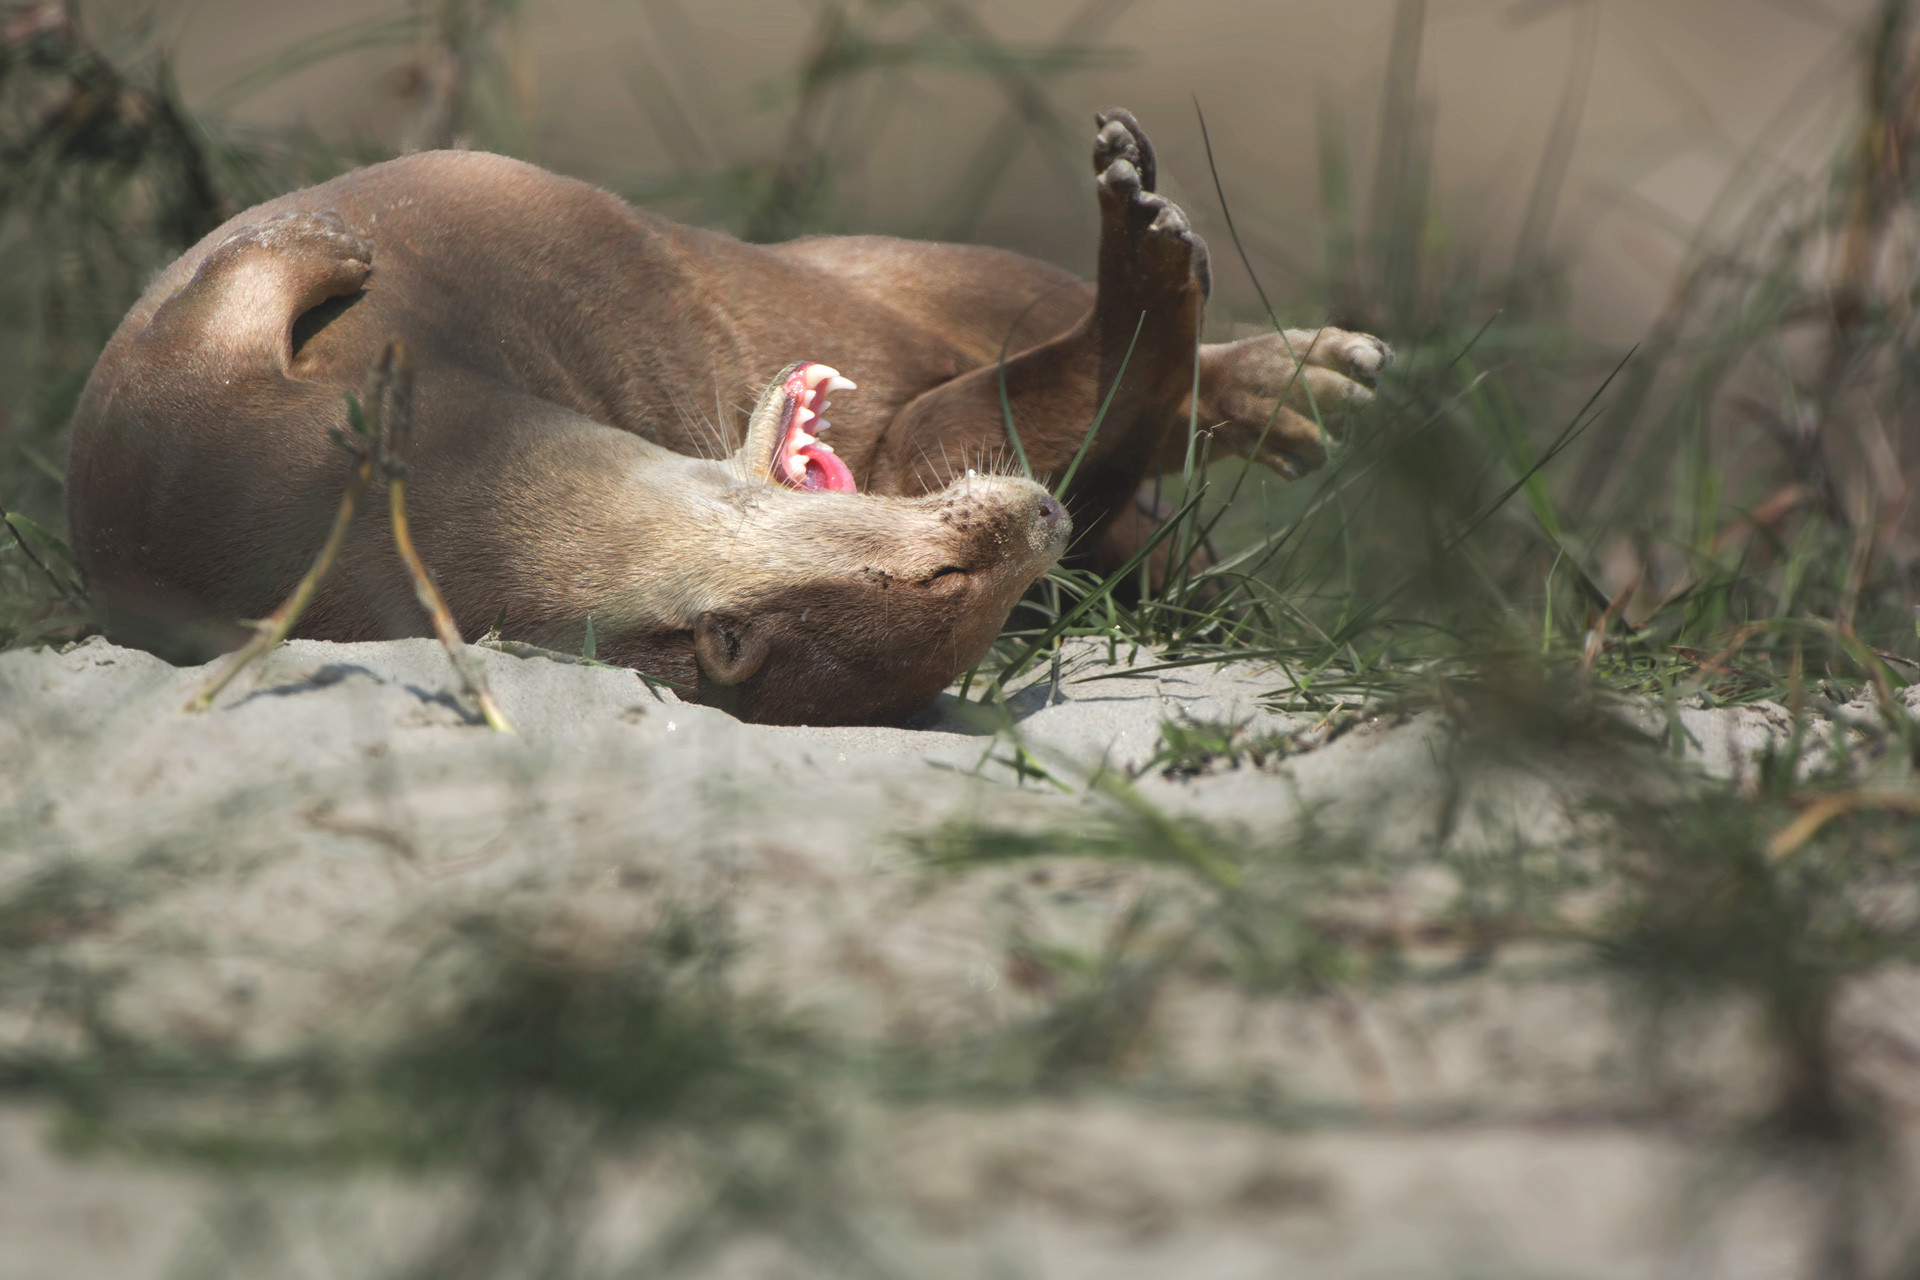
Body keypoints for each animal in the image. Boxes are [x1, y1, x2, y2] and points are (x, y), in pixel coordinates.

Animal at [66, 110, 1387, 726]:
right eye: (949, 583)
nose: (1038, 527)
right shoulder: (177, 429)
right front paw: (325, 241)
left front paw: (326, 241)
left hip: (902, 265)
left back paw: (1287, 377)